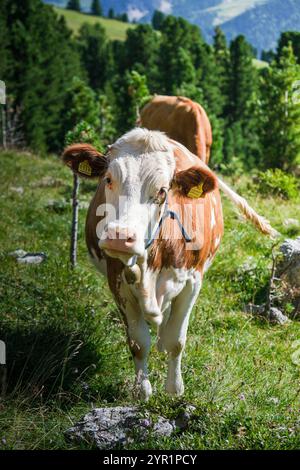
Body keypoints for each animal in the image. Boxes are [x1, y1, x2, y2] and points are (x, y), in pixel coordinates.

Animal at [63, 126, 276, 400]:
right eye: (108, 179)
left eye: (163, 191)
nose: (120, 237)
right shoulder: (117, 282)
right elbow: (138, 342)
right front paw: (142, 390)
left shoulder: (193, 282)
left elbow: (177, 340)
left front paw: (174, 389)